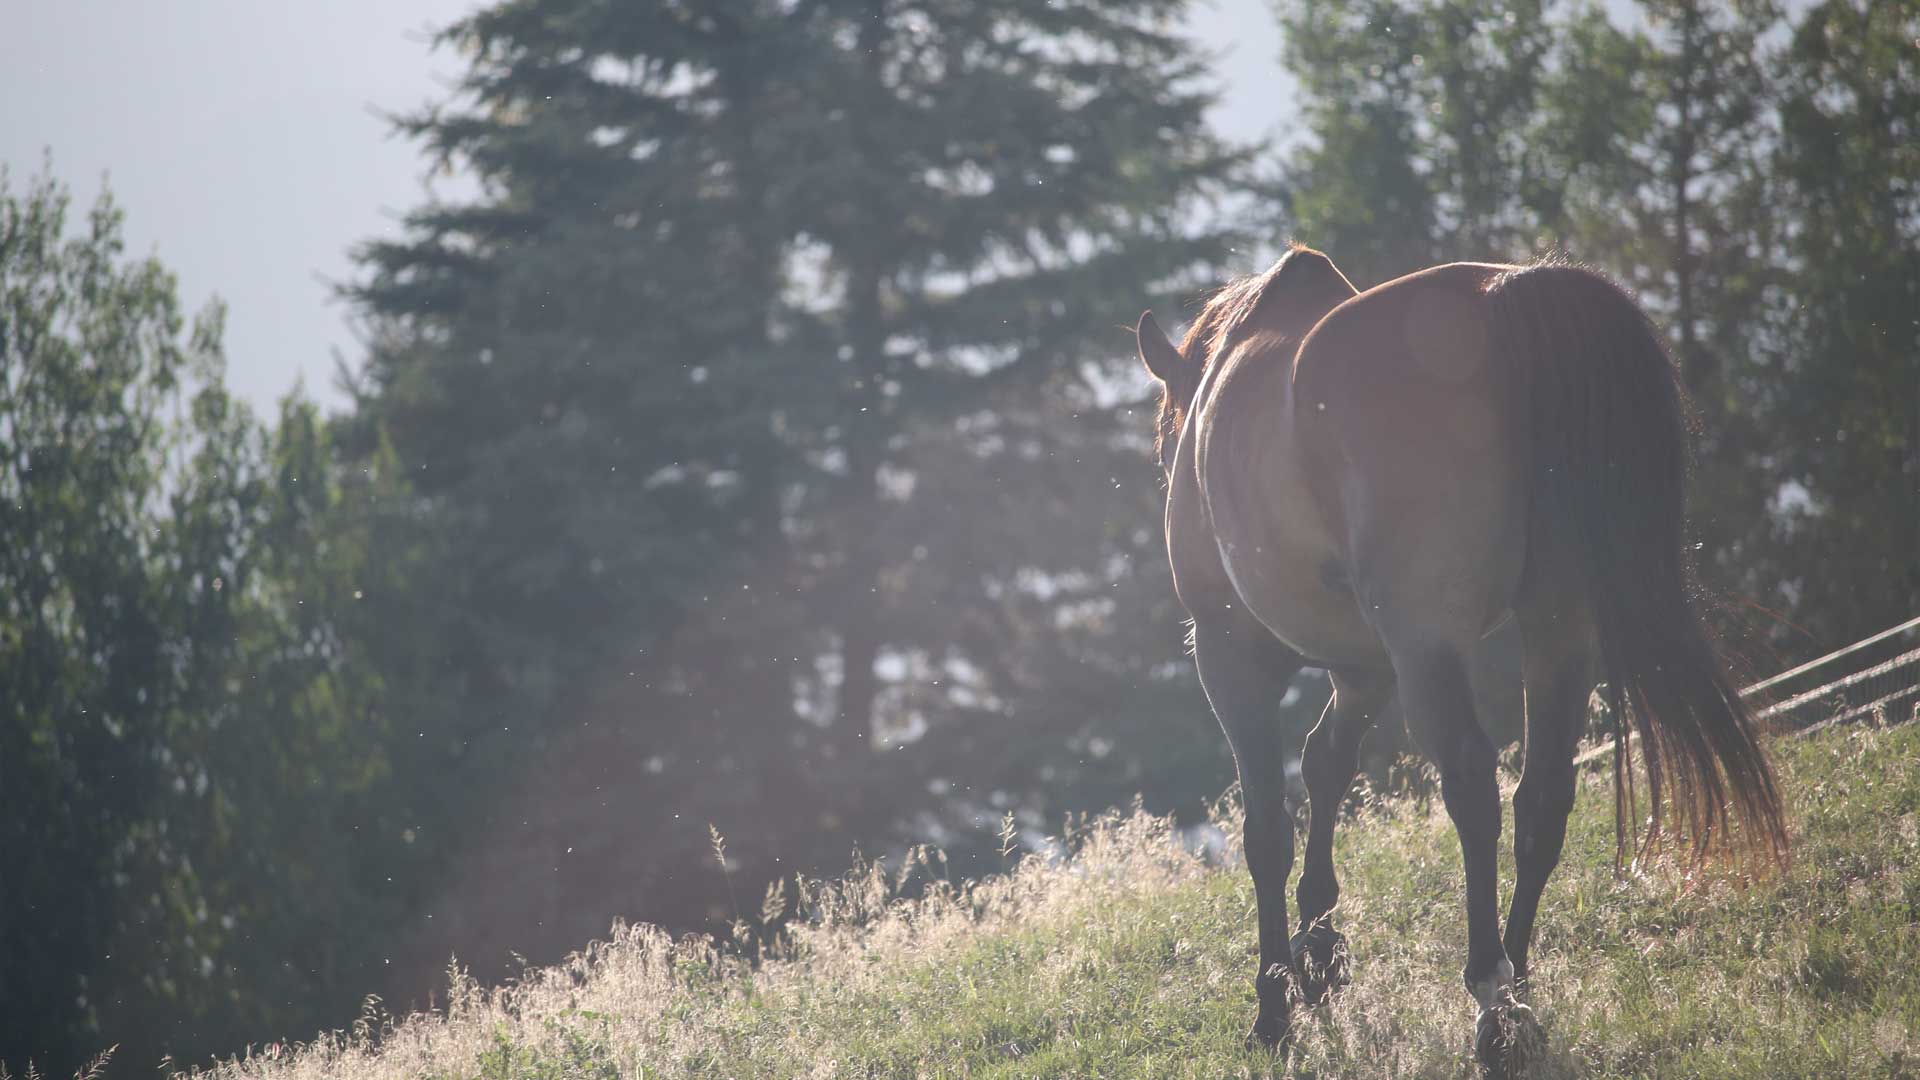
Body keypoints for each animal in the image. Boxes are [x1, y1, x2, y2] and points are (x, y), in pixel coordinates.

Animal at [1136, 245, 1781, 1068]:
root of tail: (1507, 296)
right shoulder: (1367, 669)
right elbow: (1326, 766)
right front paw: (1319, 955)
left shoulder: (1232, 657)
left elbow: (1267, 831)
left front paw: (1276, 1004)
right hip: (1558, 628)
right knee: (1541, 796)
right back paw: (1519, 981)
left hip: (1428, 642)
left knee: (1474, 787)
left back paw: (1492, 1001)